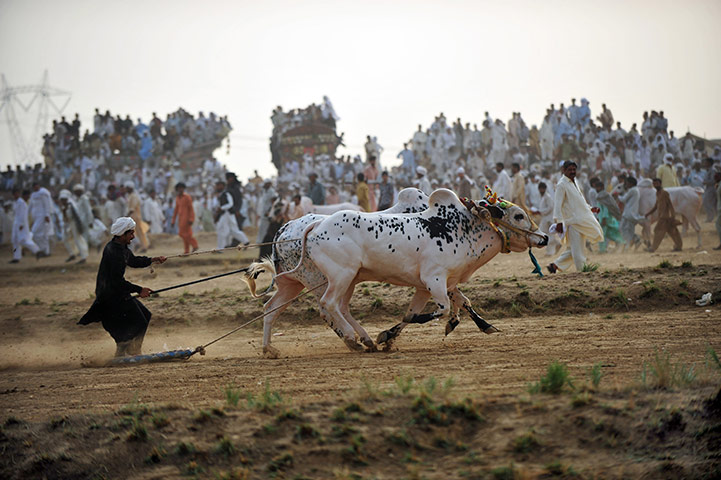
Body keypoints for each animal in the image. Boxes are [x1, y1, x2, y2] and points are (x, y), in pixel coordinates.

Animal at [244, 188, 430, 358]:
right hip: (326, 280)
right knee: (328, 308)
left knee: (271, 309)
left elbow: (413, 312)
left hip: (294, 284)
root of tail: (284, 230)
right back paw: (353, 340)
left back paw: (269, 348)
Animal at [268, 188, 548, 356]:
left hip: (338, 280)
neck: (460, 228)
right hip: (338, 277)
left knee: (312, 308)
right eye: (519, 215)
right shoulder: (435, 279)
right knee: (328, 305)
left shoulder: (429, 286)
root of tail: (313, 225)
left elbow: (433, 310)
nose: (544, 237)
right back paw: (351, 338)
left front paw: (388, 336)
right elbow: (440, 309)